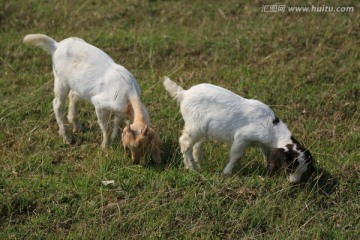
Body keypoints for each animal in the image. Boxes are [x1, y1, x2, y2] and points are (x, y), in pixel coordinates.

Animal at [23, 33, 161, 164]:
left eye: (146, 147)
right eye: (132, 146)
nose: (135, 161)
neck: (130, 95)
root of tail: (56, 46)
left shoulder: (119, 110)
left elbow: (117, 122)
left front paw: (114, 138)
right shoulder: (100, 104)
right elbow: (105, 127)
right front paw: (105, 146)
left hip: (78, 84)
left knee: (73, 95)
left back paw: (77, 126)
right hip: (61, 81)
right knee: (57, 104)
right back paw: (67, 137)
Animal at [162, 77, 312, 182]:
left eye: (304, 169)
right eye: (290, 167)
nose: (294, 182)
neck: (272, 128)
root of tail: (184, 93)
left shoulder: (264, 144)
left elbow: (267, 154)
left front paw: (268, 169)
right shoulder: (243, 137)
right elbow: (236, 155)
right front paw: (226, 172)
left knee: (196, 144)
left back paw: (198, 163)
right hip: (195, 126)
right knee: (184, 142)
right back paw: (192, 169)